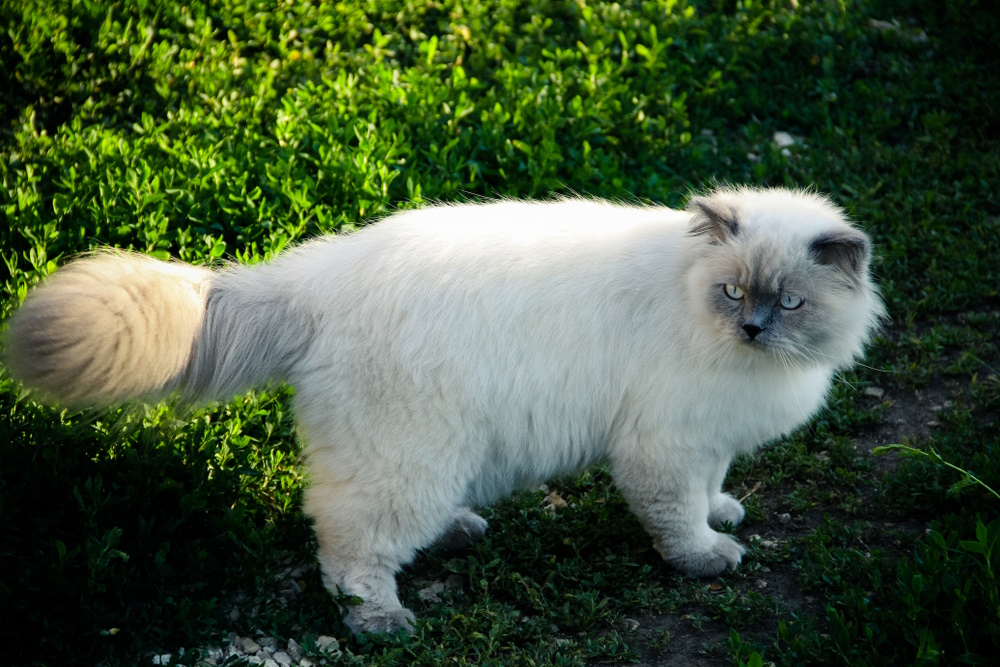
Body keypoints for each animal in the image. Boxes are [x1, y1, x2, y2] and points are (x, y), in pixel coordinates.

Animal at [1, 185, 884, 636]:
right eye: (734, 290)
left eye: (789, 302)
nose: (752, 328)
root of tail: (317, 274)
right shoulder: (663, 445)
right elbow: (678, 520)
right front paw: (707, 555)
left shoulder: (707, 440)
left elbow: (711, 490)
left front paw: (727, 513)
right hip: (409, 459)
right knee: (346, 544)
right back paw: (381, 619)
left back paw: (457, 530)